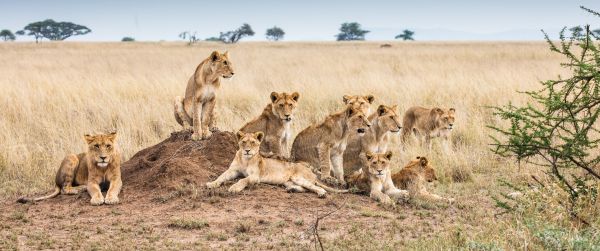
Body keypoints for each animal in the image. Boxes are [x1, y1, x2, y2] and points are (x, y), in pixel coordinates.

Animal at [206, 130, 346, 197]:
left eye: (253, 143)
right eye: (244, 142)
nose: (247, 151)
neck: (245, 160)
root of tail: (311, 172)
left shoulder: (255, 176)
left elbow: (243, 180)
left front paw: (234, 188)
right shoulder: (232, 170)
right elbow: (221, 176)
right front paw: (211, 184)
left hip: (299, 177)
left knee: (315, 187)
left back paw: (321, 194)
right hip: (288, 181)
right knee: (305, 188)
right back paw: (292, 189)